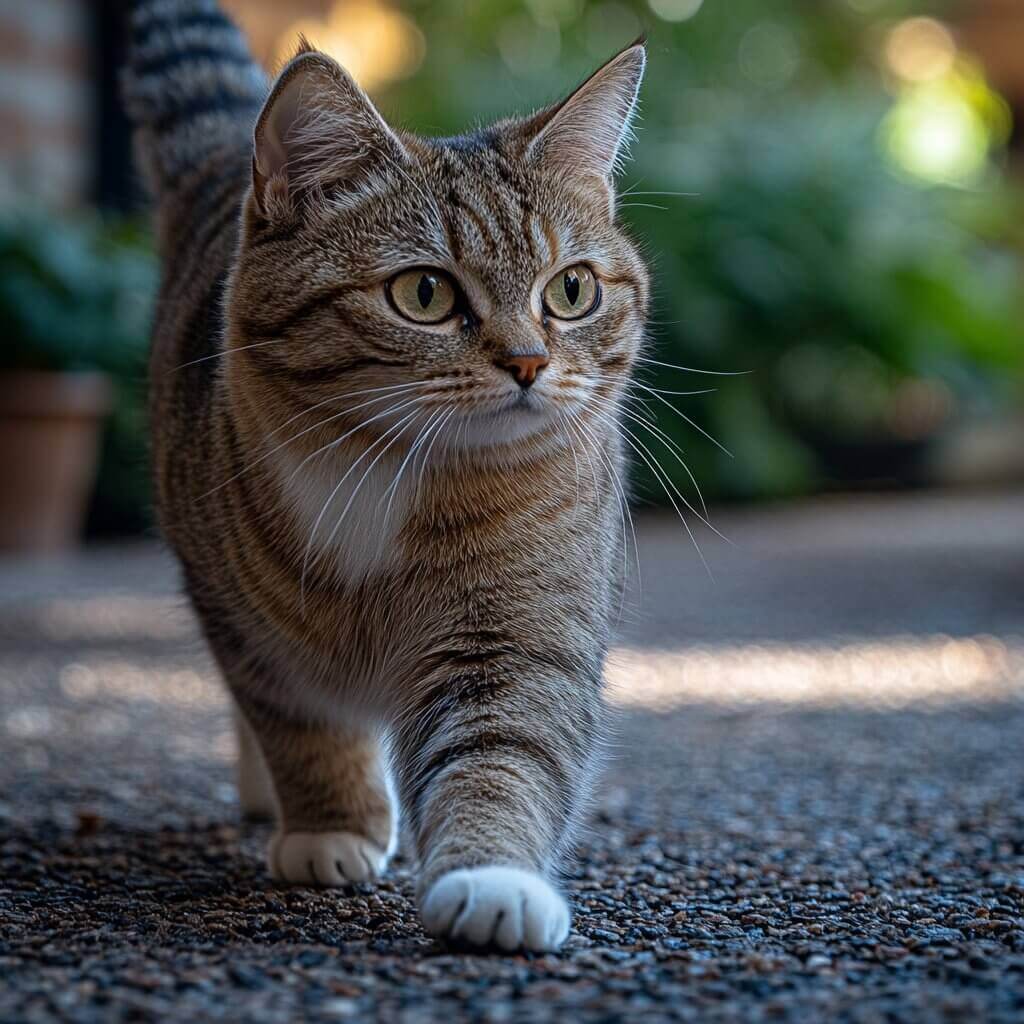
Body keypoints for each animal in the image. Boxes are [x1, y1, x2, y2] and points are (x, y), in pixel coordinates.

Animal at [121, 0, 647, 950]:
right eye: (426, 294)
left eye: (572, 290)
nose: (528, 362)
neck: (393, 465)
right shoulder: (246, 628)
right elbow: (300, 724)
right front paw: (331, 827)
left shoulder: (519, 626)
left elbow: (503, 752)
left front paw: (494, 881)